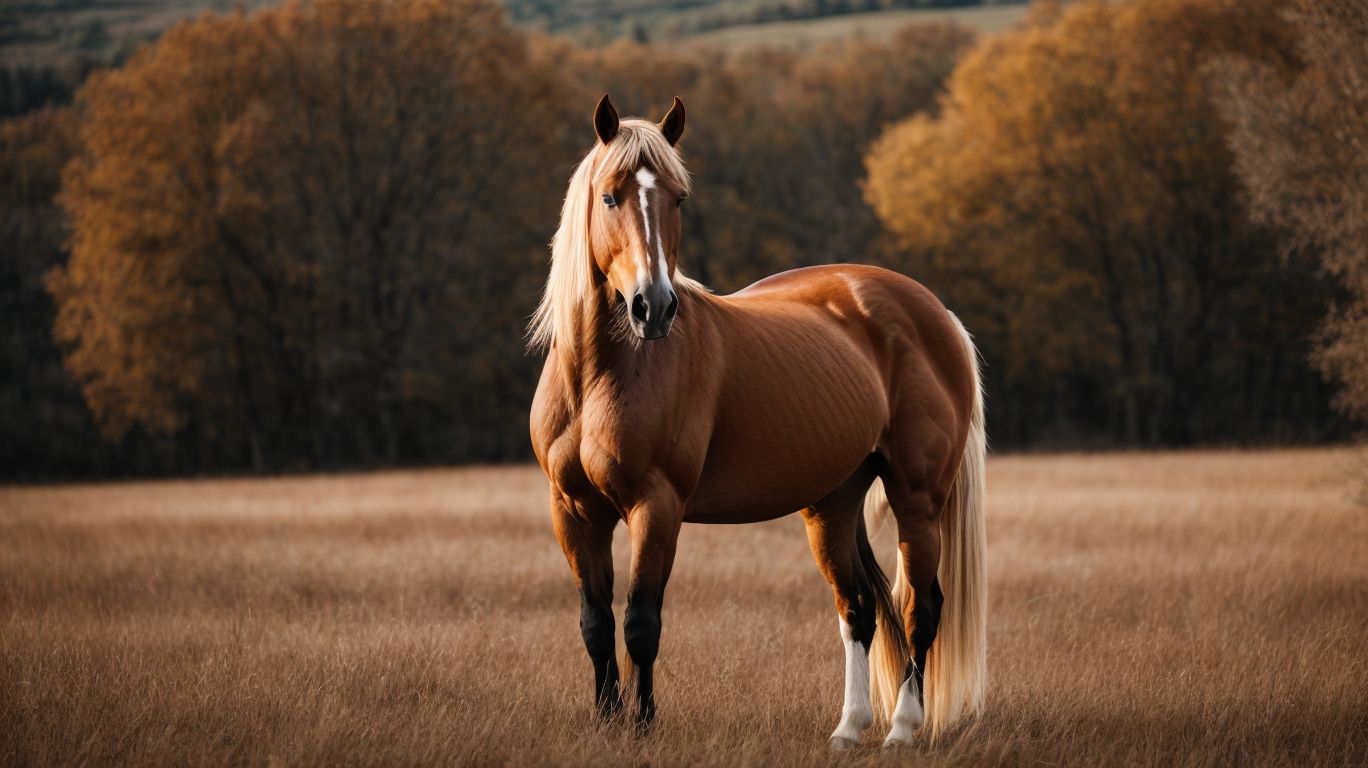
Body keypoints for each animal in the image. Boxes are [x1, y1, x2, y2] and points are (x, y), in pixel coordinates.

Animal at [528, 94, 987, 748]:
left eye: (678, 197)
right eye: (610, 196)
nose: (654, 307)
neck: (600, 375)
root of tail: (935, 312)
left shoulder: (655, 507)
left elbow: (641, 621)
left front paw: (642, 725)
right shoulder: (573, 510)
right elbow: (595, 624)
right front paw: (607, 721)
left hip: (917, 499)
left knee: (919, 610)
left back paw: (902, 728)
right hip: (832, 503)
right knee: (857, 610)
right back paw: (848, 729)